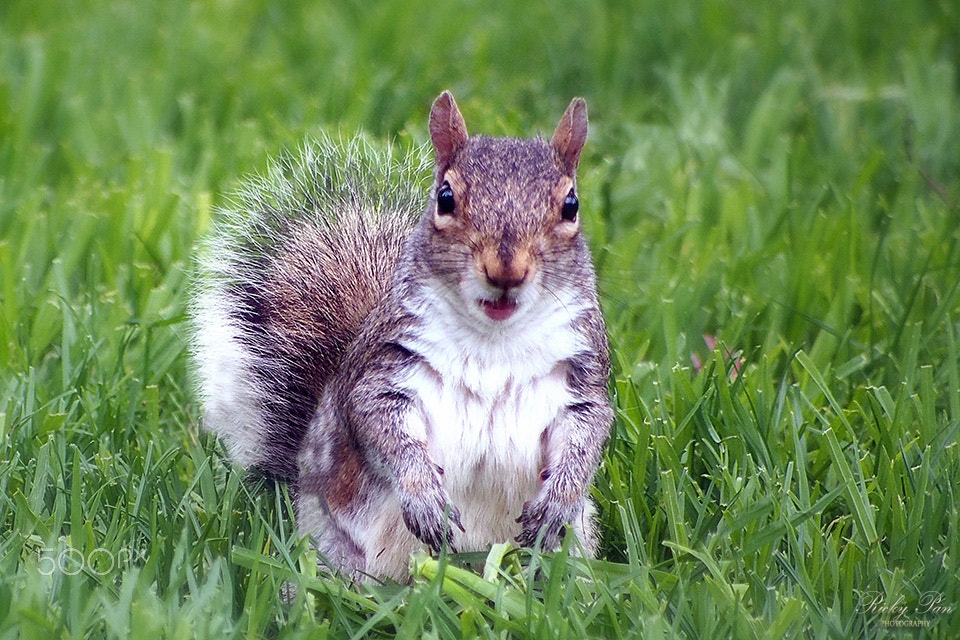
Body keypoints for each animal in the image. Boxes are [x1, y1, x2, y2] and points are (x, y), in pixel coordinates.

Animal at [193, 92, 616, 584]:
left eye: (571, 206)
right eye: (445, 198)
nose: (506, 271)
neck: (494, 338)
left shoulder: (581, 377)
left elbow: (588, 432)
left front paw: (558, 501)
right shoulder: (384, 370)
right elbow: (385, 431)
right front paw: (424, 498)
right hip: (332, 552)